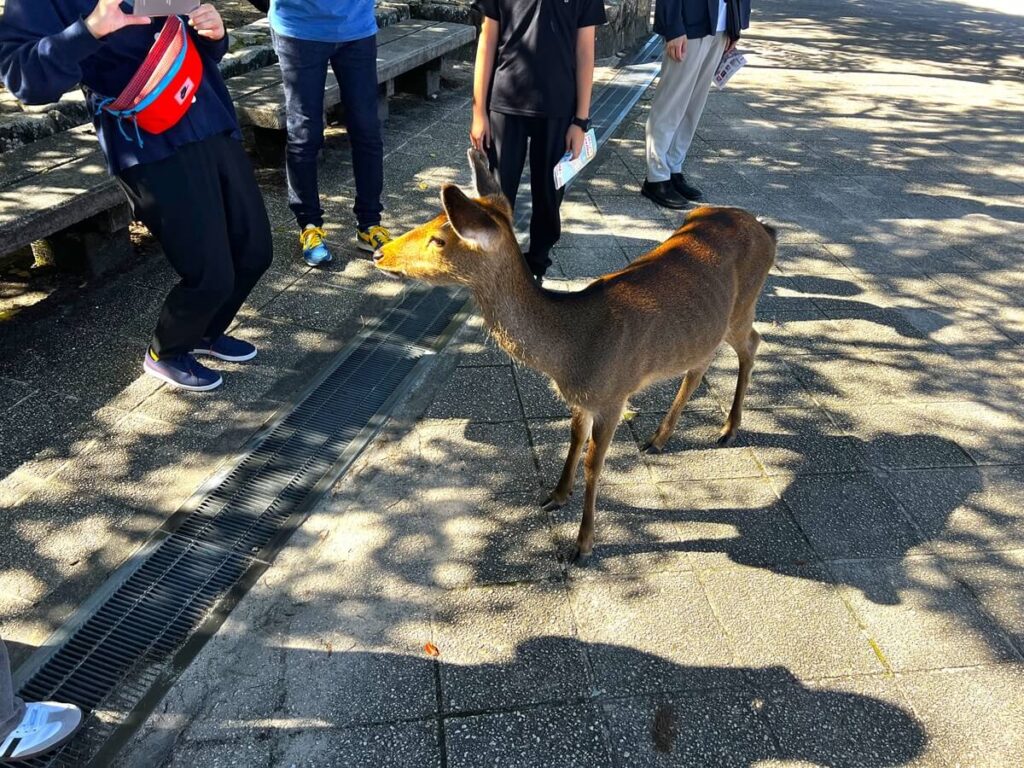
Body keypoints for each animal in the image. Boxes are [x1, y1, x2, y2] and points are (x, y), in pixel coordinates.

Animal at [376, 150, 774, 569]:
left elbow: (593, 465)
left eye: (439, 238)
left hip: (742, 308)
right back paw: (658, 439)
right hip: (706, 329)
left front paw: (583, 545)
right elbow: (573, 438)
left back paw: (728, 429)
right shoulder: (581, 399)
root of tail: (767, 229)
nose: (378, 252)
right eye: (430, 220)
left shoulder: (614, 395)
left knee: (753, 343)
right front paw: (555, 495)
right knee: (699, 366)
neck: (571, 353)